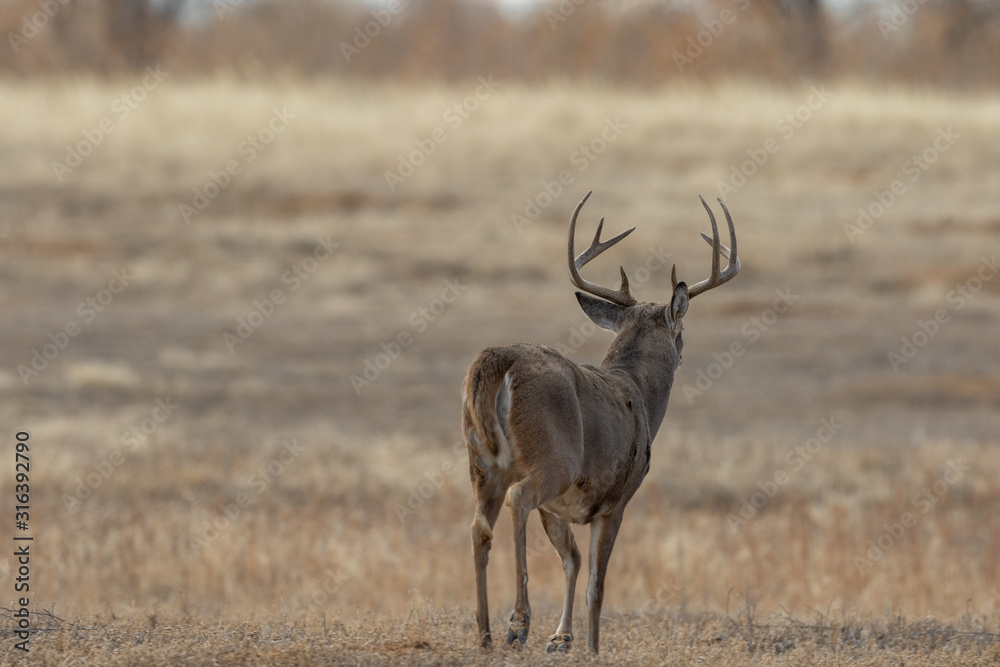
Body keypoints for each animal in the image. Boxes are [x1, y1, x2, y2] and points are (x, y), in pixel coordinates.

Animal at [461, 191, 740, 654]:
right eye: (682, 332)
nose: (683, 352)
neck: (638, 392)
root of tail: (499, 359)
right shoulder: (617, 500)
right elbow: (597, 583)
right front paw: (590, 646)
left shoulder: (561, 509)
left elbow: (571, 561)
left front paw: (561, 639)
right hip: (552, 459)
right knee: (518, 499)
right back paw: (517, 623)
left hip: (479, 461)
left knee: (479, 524)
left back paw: (484, 633)